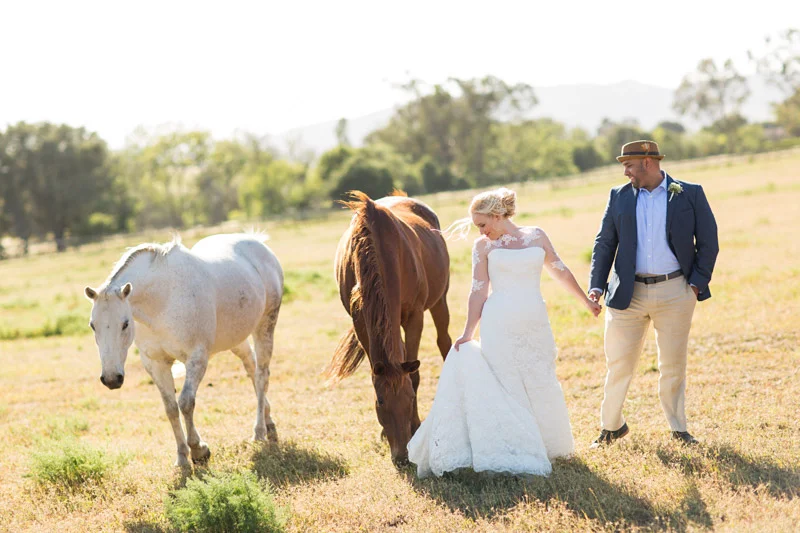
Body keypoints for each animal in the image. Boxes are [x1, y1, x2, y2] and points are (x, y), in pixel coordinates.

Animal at [84, 233, 283, 467]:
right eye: (92, 325)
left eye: (125, 324)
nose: (111, 379)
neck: (163, 299)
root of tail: (256, 241)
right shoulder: (156, 363)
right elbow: (170, 407)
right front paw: (181, 457)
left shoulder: (196, 358)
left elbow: (186, 403)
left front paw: (198, 450)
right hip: (236, 339)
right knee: (251, 367)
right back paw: (269, 423)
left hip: (265, 325)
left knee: (261, 375)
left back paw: (259, 432)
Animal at [328, 191, 452, 465]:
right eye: (381, 401)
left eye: (410, 398)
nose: (402, 456)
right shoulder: (361, 322)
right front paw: (384, 434)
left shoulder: (415, 316)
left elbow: (414, 375)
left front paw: (416, 426)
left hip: (440, 300)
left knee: (444, 342)